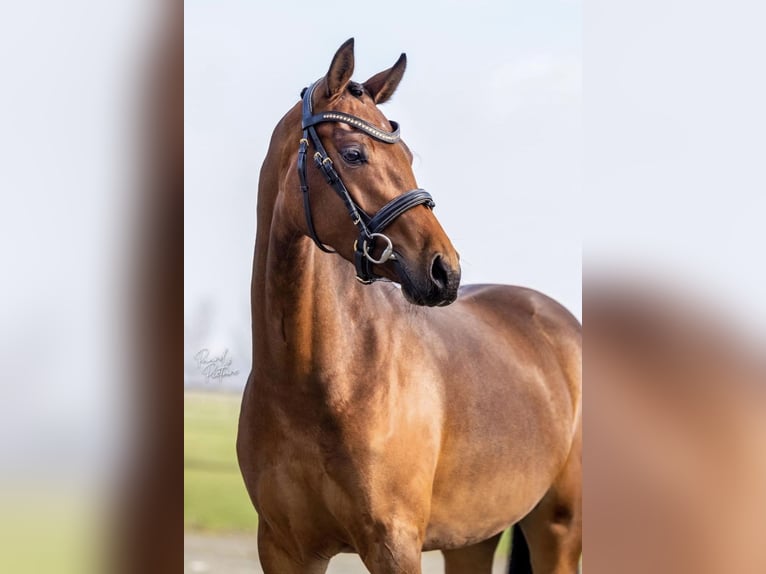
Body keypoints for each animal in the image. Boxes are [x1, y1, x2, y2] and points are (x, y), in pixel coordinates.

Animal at [237, 38, 584, 572]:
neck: (320, 381)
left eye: (405, 154)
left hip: (559, 529)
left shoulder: (394, 546)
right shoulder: (284, 549)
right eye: (354, 153)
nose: (445, 270)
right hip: (472, 538)